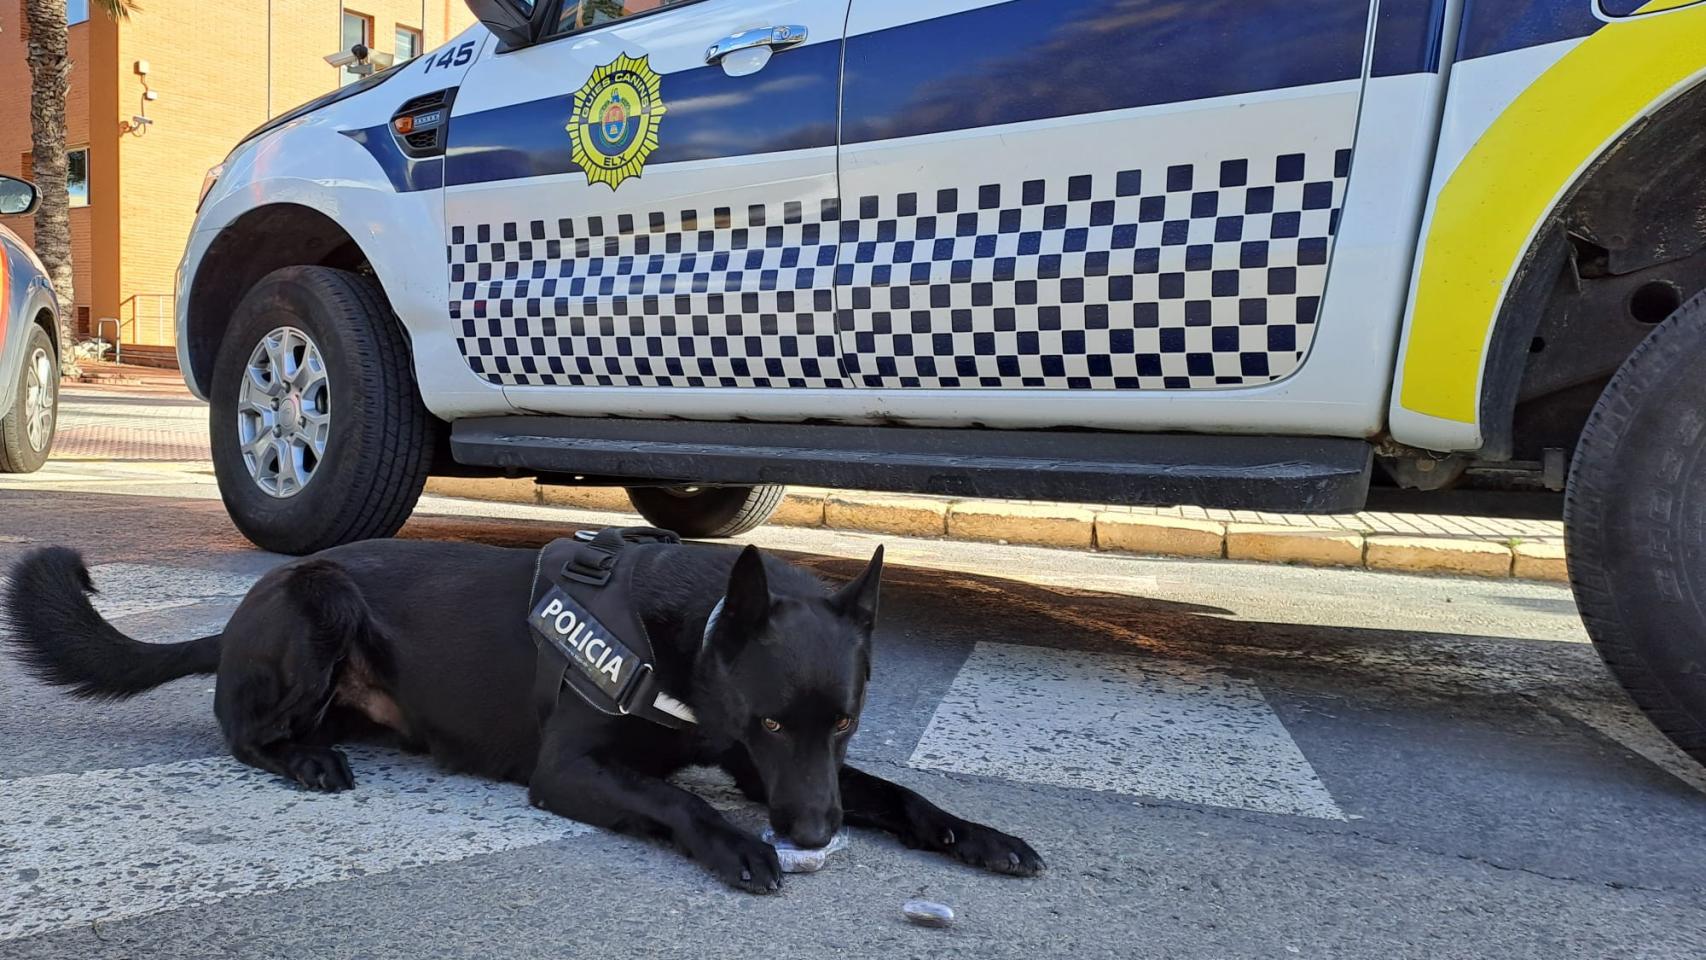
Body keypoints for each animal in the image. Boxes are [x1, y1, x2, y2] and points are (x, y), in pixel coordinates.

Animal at [3, 542, 1037, 893]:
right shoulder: (571, 772)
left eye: (847, 725)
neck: (691, 633)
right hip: (322, 601)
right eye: (777, 724)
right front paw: (737, 846)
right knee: (244, 734)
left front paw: (978, 835)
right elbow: (681, 802)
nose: (815, 834)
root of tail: (235, 619)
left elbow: (899, 795)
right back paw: (307, 760)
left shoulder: (771, 771)